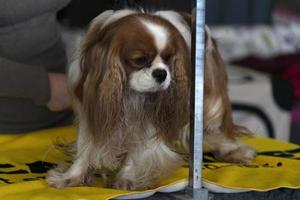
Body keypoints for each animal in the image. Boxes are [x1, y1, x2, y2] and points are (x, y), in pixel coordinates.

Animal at [46, 9, 255, 191]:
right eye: (140, 60)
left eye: (169, 58)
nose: (161, 73)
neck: (130, 93)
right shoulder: (92, 109)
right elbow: (86, 147)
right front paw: (71, 177)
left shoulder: (151, 118)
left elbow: (138, 151)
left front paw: (126, 178)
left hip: (211, 102)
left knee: (220, 127)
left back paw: (233, 151)